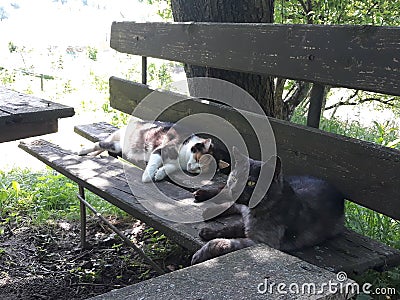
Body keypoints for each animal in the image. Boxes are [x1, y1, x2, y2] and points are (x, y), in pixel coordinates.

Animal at [79, 120, 228, 183]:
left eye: (201, 169)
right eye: (198, 159)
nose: (192, 168)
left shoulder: (175, 165)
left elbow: (169, 168)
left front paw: (160, 174)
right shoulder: (160, 150)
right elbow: (152, 165)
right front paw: (147, 177)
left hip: (117, 147)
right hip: (117, 143)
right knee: (99, 143)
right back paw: (83, 150)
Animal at [191, 148, 344, 264]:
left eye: (251, 183)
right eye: (234, 178)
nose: (235, 189)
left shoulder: (261, 242)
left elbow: (224, 239)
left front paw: (201, 252)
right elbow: (230, 226)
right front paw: (209, 232)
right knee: (226, 194)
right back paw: (203, 196)